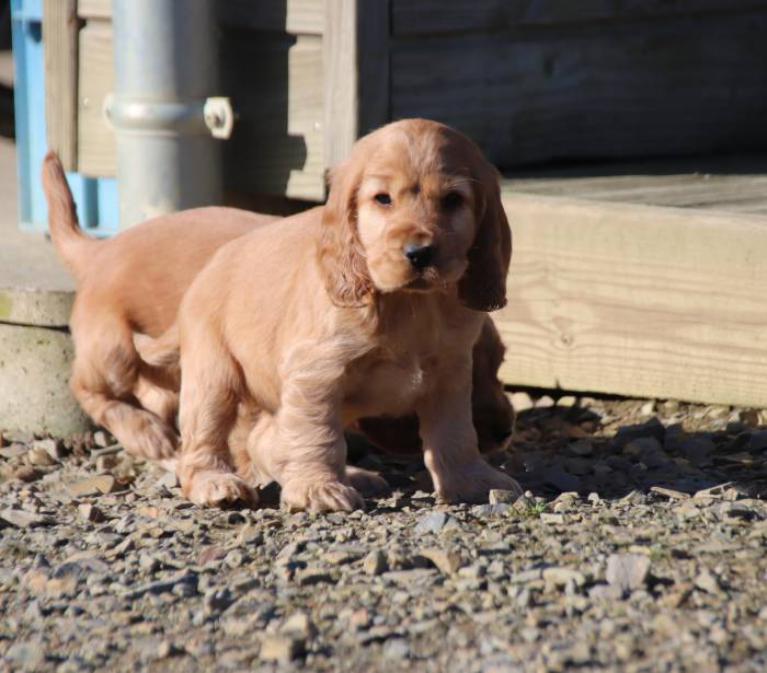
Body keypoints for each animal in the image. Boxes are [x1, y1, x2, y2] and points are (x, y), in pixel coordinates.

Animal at [141, 119, 522, 510]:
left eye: (452, 200)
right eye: (383, 199)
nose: (419, 253)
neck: (408, 303)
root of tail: (209, 268)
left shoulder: (450, 370)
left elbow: (455, 433)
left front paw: (472, 482)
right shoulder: (317, 372)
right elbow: (317, 434)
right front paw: (317, 490)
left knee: (265, 438)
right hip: (212, 374)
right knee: (205, 435)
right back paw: (215, 483)